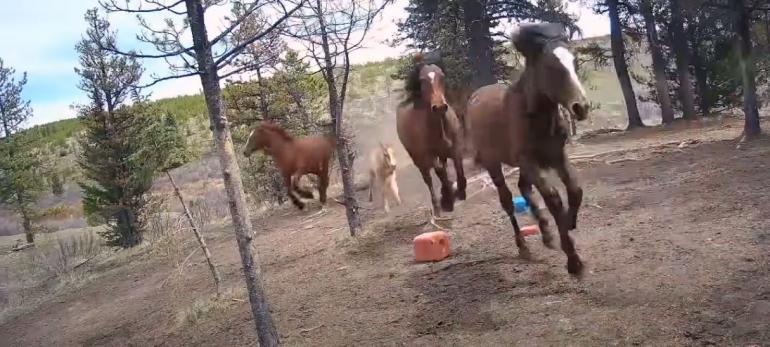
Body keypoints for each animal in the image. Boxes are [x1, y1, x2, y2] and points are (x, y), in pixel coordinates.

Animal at [396, 53, 468, 220]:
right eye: (422, 80)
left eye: (442, 76)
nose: (439, 107)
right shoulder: (428, 156)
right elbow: (440, 172)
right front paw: (448, 199)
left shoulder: (455, 147)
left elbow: (458, 168)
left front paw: (460, 191)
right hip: (419, 161)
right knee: (429, 179)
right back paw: (437, 206)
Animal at [464, 23, 592, 276]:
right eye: (551, 66)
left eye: (574, 61)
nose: (580, 107)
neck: (536, 117)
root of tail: (475, 95)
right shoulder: (530, 161)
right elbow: (553, 199)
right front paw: (573, 260)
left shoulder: (557, 156)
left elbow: (575, 190)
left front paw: (569, 222)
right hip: (495, 163)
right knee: (507, 200)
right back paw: (523, 246)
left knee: (524, 188)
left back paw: (546, 234)